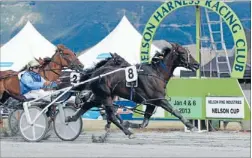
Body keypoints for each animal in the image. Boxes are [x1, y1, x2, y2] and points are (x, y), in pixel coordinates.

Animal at [67, 42, 201, 141]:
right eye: (183, 53)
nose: (197, 64)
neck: (156, 74)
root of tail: (95, 73)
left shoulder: (152, 102)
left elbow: (144, 123)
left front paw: (128, 123)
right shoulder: (159, 99)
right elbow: (176, 111)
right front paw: (191, 126)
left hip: (101, 97)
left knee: (88, 105)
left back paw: (71, 118)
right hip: (106, 97)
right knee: (111, 116)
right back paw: (128, 133)